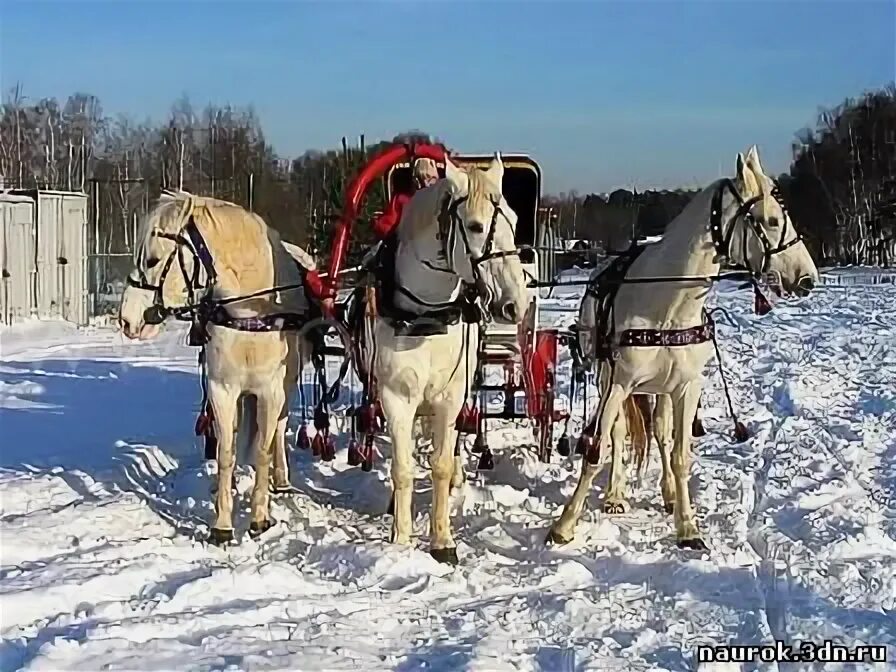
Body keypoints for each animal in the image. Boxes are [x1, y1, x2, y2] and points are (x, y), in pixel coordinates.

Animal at [117, 190, 316, 544]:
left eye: (152, 260)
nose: (127, 320)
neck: (252, 313)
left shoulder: (271, 390)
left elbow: (263, 449)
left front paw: (260, 518)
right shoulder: (222, 389)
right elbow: (226, 452)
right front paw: (222, 524)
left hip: (286, 386)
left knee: (277, 430)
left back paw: (280, 479)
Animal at [368, 152, 528, 560]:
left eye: (515, 220)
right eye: (474, 226)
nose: (515, 305)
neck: (426, 317)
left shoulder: (450, 397)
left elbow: (440, 464)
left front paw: (442, 540)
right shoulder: (396, 398)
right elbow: (403, 468)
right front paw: (400, 539)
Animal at [544, 147, 820, 552]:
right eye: (769, 220)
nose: (807, 278)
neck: (667, 305)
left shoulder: (687, 388)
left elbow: (679, 454)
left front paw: (687, 525)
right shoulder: (619, 384)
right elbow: (597, 451)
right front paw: (564, 525)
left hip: (662, 389)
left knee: (660, 432)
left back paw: (669, 494)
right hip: (607, 378)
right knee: (619, 432)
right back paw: (614, 495)